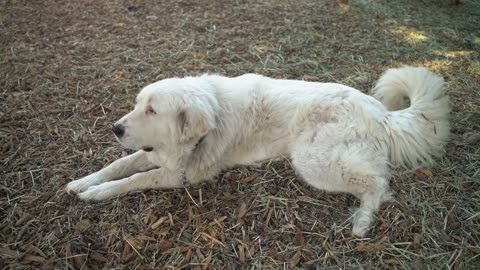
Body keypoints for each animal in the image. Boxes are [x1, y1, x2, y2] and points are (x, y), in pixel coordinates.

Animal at [65, 67, 448, 236]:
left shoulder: (178, 173)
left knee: (379, 184)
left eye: (152, 110)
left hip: (313, 161)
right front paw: (82, 182)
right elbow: (118, 165)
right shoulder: (157, 153)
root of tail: (381, 113)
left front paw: (96, 193)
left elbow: (131, 181)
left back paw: (362, 222)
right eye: (137, 105)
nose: (115, 128)